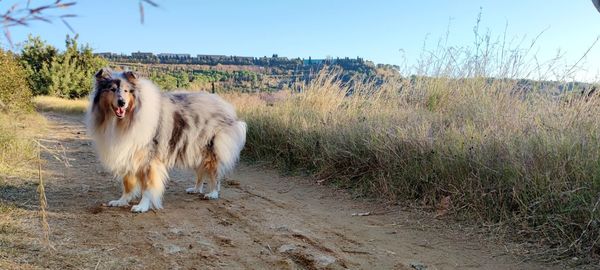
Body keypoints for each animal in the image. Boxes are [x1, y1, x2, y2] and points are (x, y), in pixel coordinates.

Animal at [84, 68, 246, 213]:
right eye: (112, 89)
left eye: (126, 91)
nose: (121, 103)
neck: (125, 120)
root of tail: (226, 107)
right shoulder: (128, 153)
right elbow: (127, 183)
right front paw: (121, 201)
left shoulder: (148, 160)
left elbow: (148, 186)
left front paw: (142, 206)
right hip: (194, 149)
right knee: (200, 173)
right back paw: (195, 189)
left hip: (212, 149)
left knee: (214, 173)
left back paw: (212, 193)